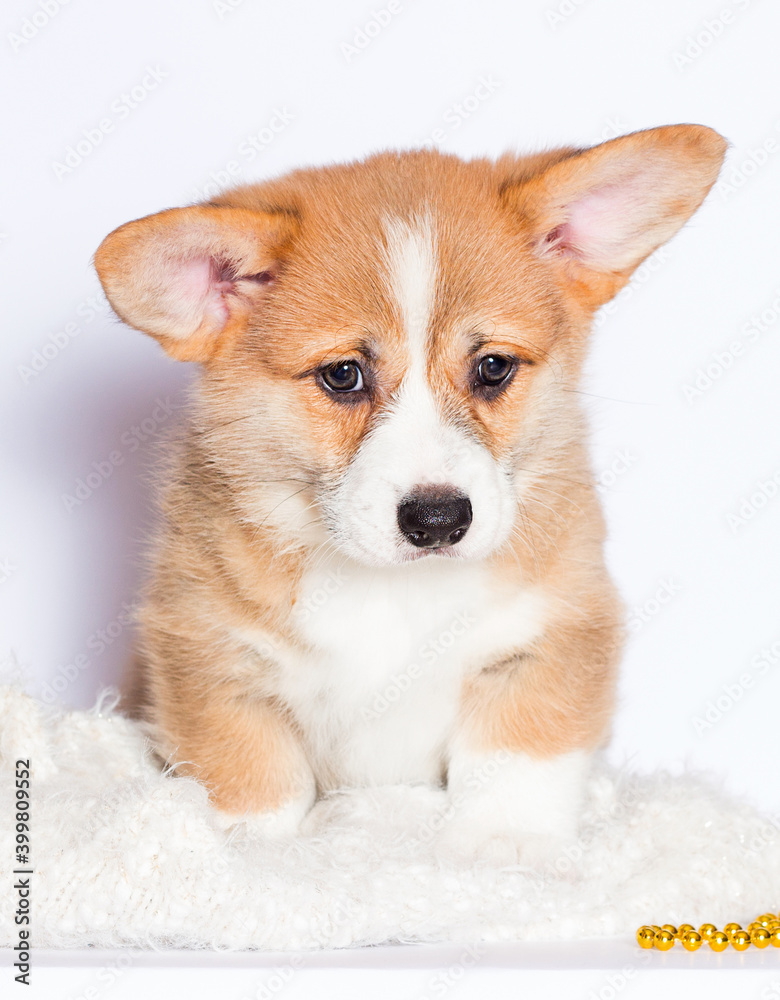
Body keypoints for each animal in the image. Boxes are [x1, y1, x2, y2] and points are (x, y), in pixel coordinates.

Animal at [96, 125, 724, 864]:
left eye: (493, 367)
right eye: (343, 375)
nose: (439, 519)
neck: (393, 591)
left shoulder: (553, 632)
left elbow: (521, 752)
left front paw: (506, 844)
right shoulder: (208, 651)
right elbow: (251, 774)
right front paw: (258, 852)